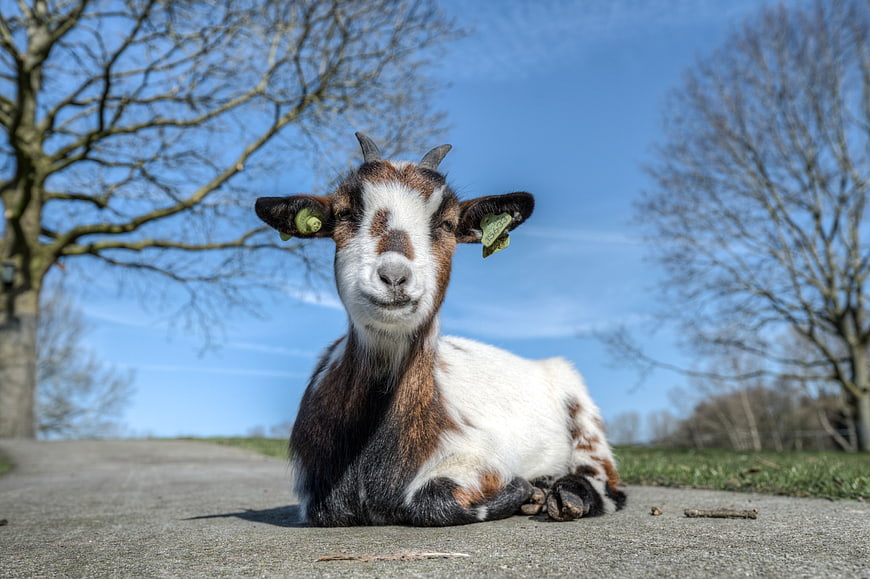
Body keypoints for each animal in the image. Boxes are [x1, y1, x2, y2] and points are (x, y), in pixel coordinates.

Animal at [255, 133, 626, 526]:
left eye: (447, 223)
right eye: (343, 213)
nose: (394, 276)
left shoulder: (479, 458)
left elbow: (435, 498)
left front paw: (525, 489)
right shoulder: (316, 494)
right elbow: (332, 507)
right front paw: (529, 491)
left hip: (580, 408)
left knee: (607, 480)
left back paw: (568, 493)